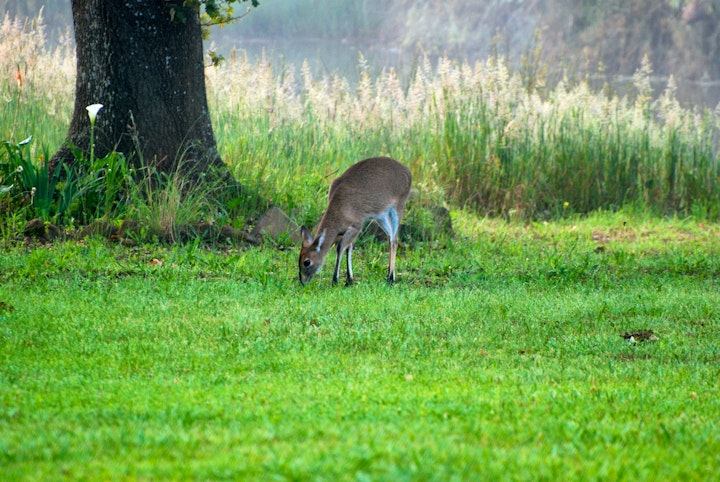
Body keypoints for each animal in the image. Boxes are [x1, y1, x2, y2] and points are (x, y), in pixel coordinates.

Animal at [296, 157, 410, 286]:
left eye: (307, 262)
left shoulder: (356, 227)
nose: (302, 281)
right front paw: (349, 279)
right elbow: (348, 248)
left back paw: (391, 278)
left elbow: (340, 247)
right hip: (381, 217)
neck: (339, 209)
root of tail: (407, 171)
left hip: (398, 209)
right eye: (299, 258)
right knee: (390, 238)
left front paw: (335, 280)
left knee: (394, 240)